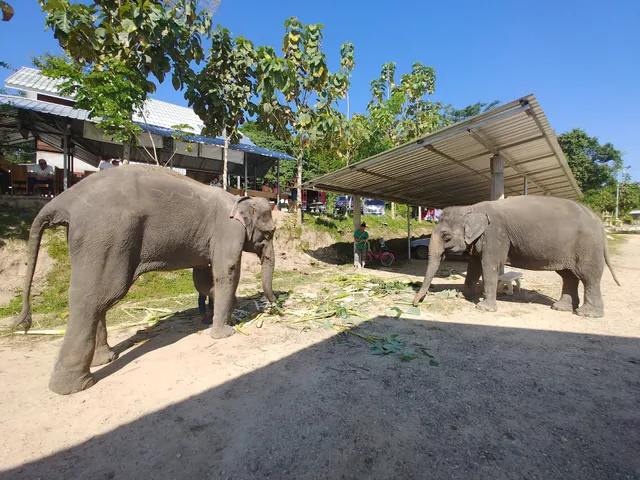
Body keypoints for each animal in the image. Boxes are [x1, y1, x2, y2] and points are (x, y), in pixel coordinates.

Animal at [11, 165, 276, 395]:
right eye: (270, 233)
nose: (275, 306)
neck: (239, 199)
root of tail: (66, 199)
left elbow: (202, 276)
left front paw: (218, 314)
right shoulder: (228, 232)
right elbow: (227, 271)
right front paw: (226, 332)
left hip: (94, 242)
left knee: (96, 296)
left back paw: (104, 359)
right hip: (108, 236)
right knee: (96, 297)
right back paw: (76, 386)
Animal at [412, 196, 620, 317]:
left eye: (446, 236)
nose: (416, 303)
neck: (471, 209)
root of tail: (599, 222)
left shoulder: (495, 234)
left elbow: (489, 265)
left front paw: (484, 308)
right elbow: (475, 264)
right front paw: (464, 295)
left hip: (588, 247)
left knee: (589, 277)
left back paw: (587, 314)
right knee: (568, 275)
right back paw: (561, 308)